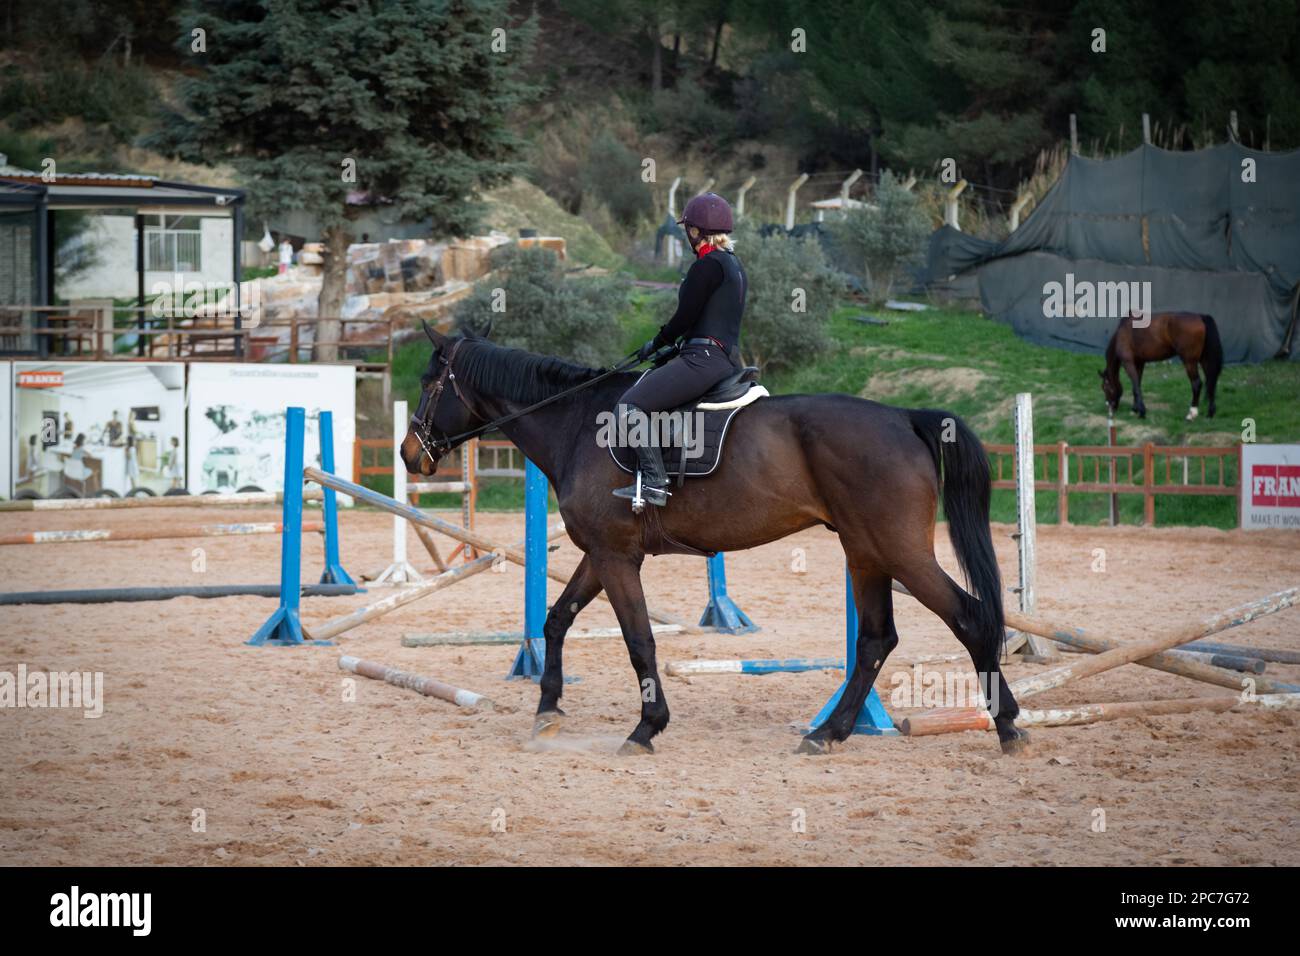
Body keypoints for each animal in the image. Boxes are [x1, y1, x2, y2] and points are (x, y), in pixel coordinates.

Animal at [395, 327, 1024, 754]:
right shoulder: (603, 553)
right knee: (875, 640)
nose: (408, 454)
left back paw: (1008, 725)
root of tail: (902, 416)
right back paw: (829, 733)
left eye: (428, 384)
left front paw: (646, 728)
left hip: (897, 552)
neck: (576, 423)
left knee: (967, 618)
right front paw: (547, 711)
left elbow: (640, 641)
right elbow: (555, 620)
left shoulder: (616, 557)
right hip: (865, 553)